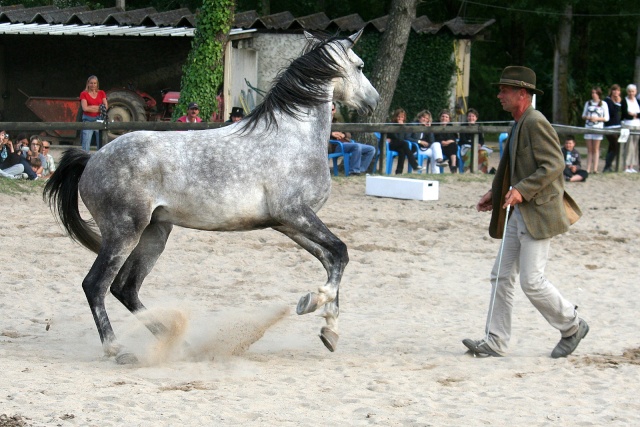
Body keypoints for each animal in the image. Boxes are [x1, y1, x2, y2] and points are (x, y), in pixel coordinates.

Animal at [43, 30, 380, 364]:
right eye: (360, 66)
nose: (374, 102)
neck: (292, 137)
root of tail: (92, 158)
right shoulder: (295, 213)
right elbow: (340, 252)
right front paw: (311, 304)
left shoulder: (288, 224)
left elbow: (331, 259)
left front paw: (330, 331)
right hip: (123, 232)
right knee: (96, 285)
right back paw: (117, 349)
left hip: (154, 233)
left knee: (125, 288)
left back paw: (180, 343)